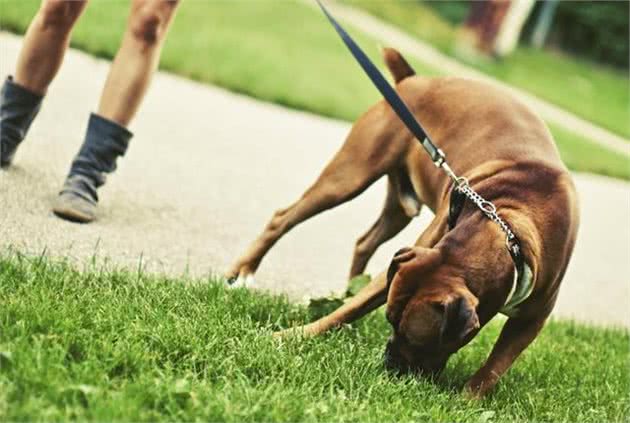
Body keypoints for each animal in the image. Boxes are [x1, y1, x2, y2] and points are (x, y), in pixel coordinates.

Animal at [230, 48, 580, 398]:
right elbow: (351, 308)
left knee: (365, 242)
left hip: (399, 208)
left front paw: (468, 400)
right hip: (348, 176)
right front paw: (291, 336)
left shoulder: (530, 321)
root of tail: (413, 80)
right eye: (390, 320)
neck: (508, 226)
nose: (388, 359)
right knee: (284, 218)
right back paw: (243, 271)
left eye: (414, 337)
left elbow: (494, 366)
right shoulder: (413, 257)